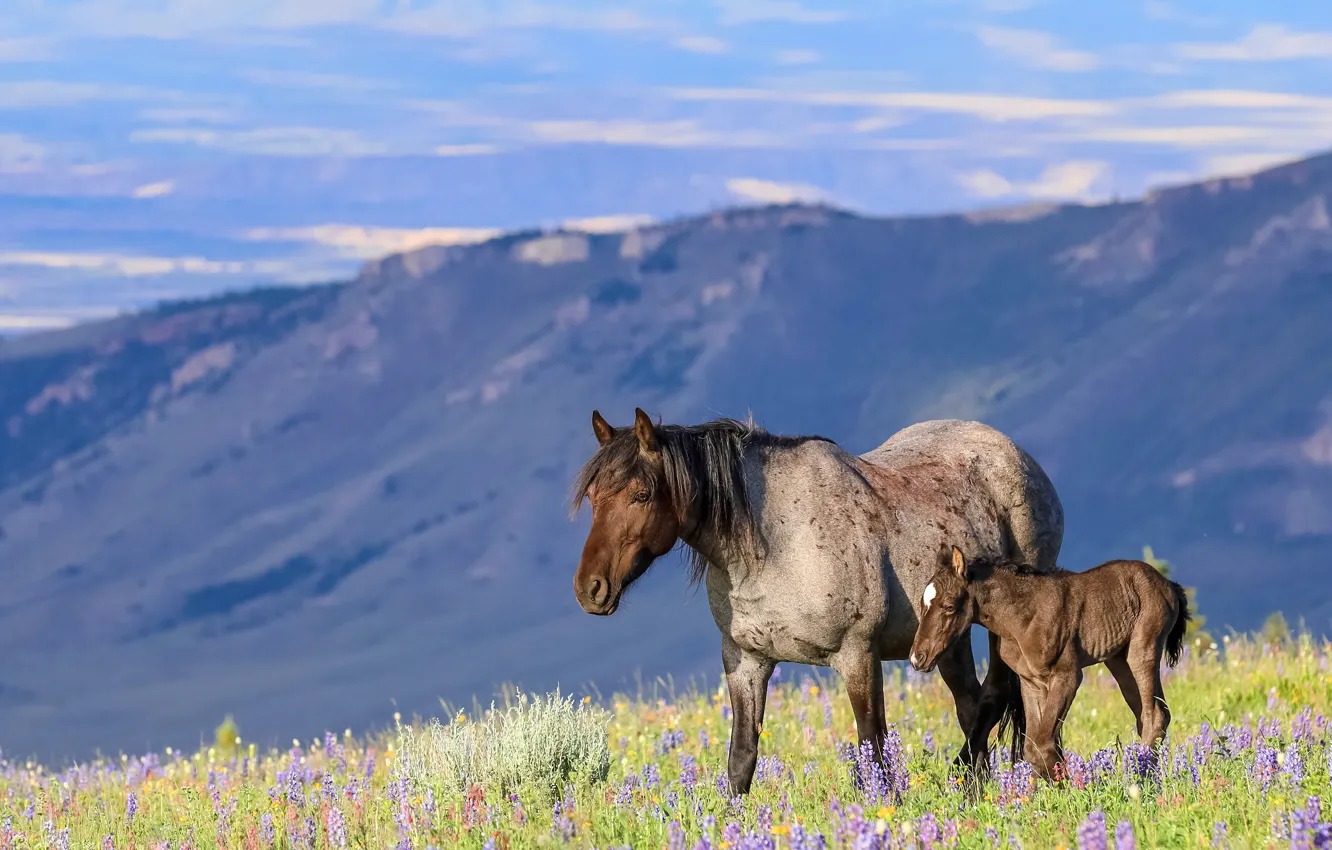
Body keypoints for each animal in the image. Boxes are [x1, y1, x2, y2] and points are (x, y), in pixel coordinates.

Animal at [570, 408, 1064, 794]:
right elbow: (742, 757)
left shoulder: (857, 656)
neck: (775, 546)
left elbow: (872, 750)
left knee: (996, 699)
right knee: (970, 705)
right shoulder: (745, 661)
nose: (589, 589)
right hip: (947, 641)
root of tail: (1020, 457)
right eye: (592, 497)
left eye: (642, 495)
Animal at [910, 546, 1190, 779]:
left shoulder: (1067, 676)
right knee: (1147, 715)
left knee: (1155, 716)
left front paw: (1071, 791)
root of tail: (1169, 585)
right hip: (1118, 660)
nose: (917, 657)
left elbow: (1042, 743)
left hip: (1143, 649)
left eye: (948, 606)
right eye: (922, 604)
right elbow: (1034, 743)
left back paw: (1142, 778)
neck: (1022, 616)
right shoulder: (1031, 681)